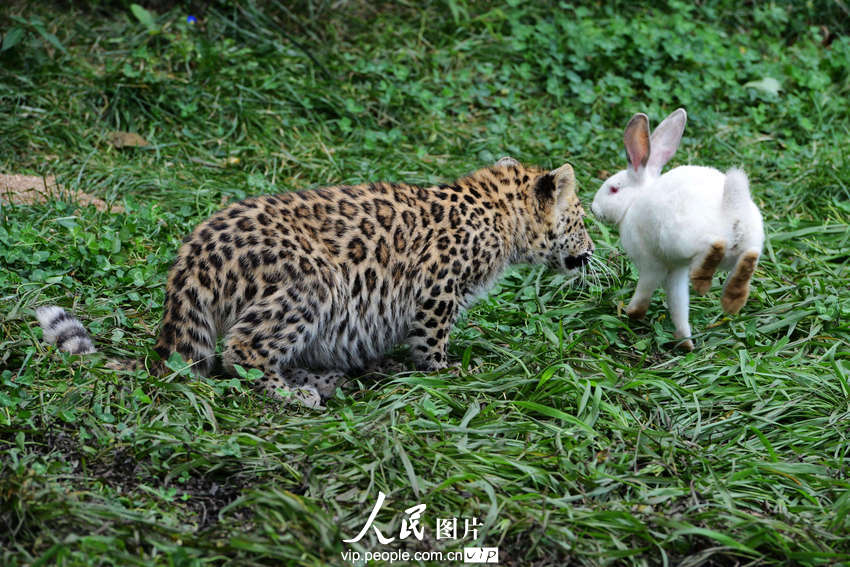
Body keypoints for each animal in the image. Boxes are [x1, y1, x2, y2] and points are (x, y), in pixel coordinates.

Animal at [36, 158, 592, 408]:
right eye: (582, 218)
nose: (591, 251)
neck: (499, 216)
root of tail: (191, 260)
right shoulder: (438, 290)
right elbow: (432, 342)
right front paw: (447, 373)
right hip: (312, 284)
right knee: (239, 354)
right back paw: (294, 394)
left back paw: (326, 379)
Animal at [588, 108, 760, 350]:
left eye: (613, 189)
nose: (593, 209)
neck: (633, 203)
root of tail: (731, 208)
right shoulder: (676, 268)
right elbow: (678, 302)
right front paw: (685, 342)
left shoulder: (650, 263)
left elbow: (646, 289)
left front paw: (631, 313)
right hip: (746, 245)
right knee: (747, 259)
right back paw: (732, 300)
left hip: (683, 237)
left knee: (714, 245)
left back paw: (703, 281)